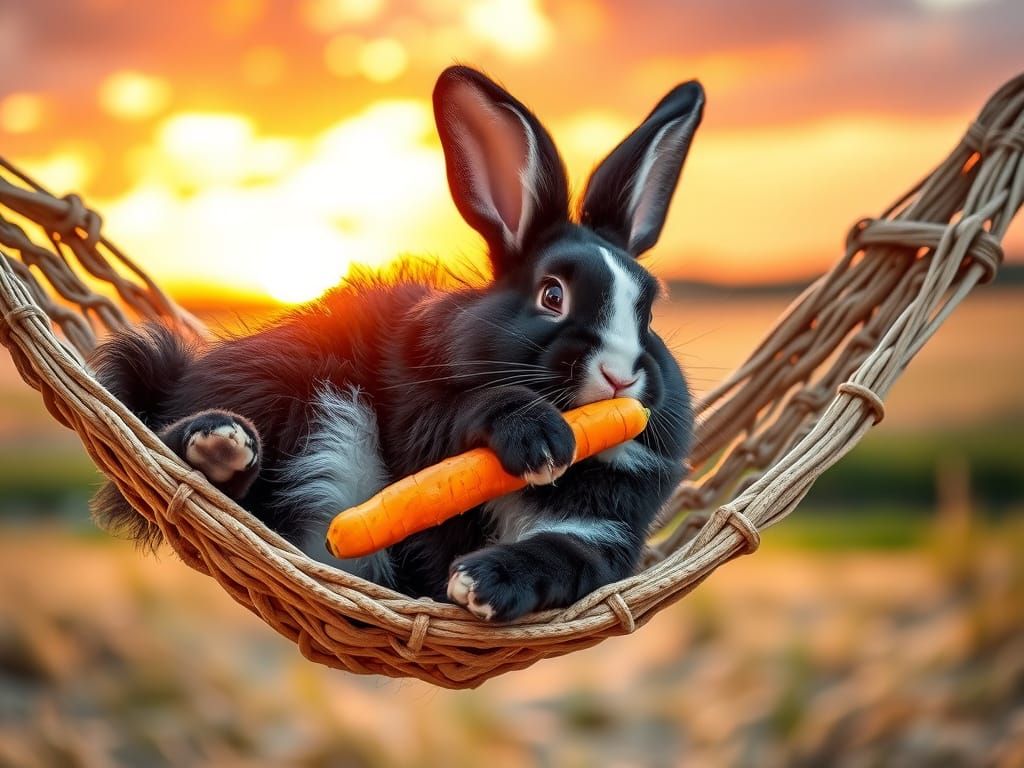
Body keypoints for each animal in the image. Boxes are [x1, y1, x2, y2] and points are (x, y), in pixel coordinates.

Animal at [90, 65, 704, 622]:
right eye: (552, 294)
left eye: (649, 310)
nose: (622, 375)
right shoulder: (421, 416)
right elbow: (460, 416)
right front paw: (540, 440)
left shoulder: (601, 541)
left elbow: (559, 556)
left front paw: (481, 585)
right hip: (276, 384)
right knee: (181, 444)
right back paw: (216, 442)